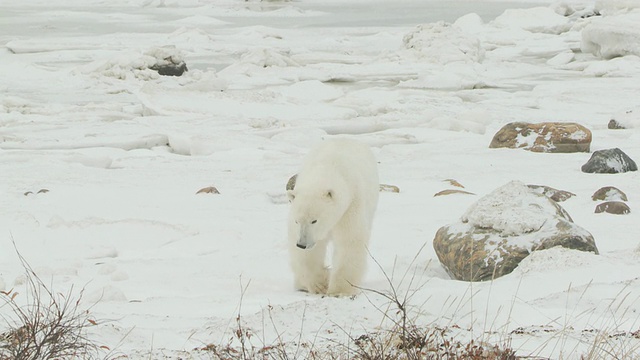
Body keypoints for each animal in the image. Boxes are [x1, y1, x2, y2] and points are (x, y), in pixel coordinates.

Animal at [288, 138, 378, 296]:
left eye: (314, 220)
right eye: (297, 220)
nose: (302, 244)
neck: (327, 167)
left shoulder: (350, 206)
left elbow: (349, 241)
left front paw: (339, 290)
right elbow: (309, 253)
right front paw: (319, 284)